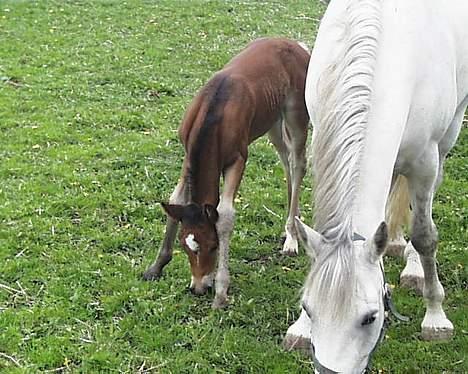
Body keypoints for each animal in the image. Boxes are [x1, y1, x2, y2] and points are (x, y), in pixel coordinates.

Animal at [143, 38, 310, 308]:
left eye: (213, 246)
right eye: (184, 246)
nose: (198, 288)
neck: (214, 114)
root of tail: (296, 45)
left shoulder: (237, 160)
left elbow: (226, 215)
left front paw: (221, 292)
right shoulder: (187, 156)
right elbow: (175, 199)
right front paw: (156, 266)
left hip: (297, 114)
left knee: (297, 163)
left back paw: (292, 237)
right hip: (272, 120)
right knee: (286, 161)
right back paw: (291, 223)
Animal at [284, 1, 466, 372]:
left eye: (370, 318)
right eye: (308, 307)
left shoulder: (425, 161)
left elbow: (425, 236)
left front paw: (435, 317)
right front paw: (301, 329)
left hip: (447, 136)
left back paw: (413, 266)